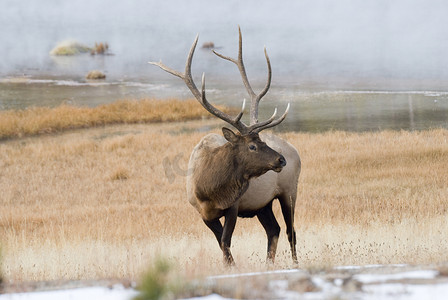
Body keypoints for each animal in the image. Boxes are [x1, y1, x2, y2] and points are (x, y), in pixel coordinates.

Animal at [150, 26, 300, 264]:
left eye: (262, 140)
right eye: (252, 146)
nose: (281, 159)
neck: (209, 189)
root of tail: (295, 151)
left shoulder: (233, 206)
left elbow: (225, 242)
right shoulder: (203, 214)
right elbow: (222, 245)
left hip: (289, 190)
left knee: (290, 231)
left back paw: (294, 263)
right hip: (263, 204)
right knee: (273, 230)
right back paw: (268, 263)